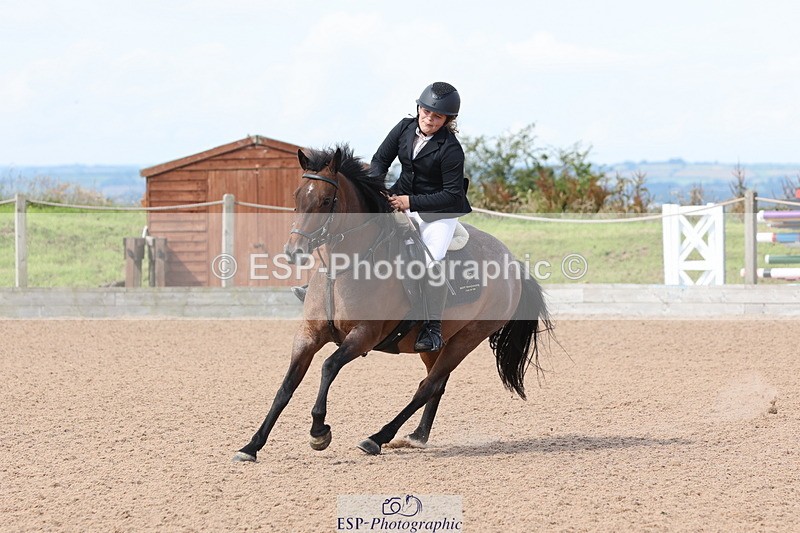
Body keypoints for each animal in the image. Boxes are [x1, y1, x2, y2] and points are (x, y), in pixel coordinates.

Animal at [233, 144, 553, 461]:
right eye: (297, 197)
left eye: (326, 200)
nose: (293, 252)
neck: (344, 267)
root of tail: (513, 263)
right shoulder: (308, 335)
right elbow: (286, 386)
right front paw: (251, 446)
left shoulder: (363, 335)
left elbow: (328, 367)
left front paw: (319, 432)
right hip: (435, 344)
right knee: (436, 384)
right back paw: (416, 436)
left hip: (467, 339)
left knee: (427, 386)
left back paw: (377, 438)